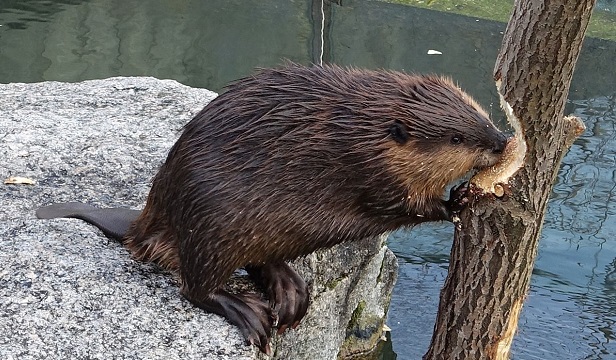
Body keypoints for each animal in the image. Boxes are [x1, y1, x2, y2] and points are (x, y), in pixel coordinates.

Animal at [39, 63, 510, 352]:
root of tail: (144, 225)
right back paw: (249, 312)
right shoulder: (366, 169)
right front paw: (458, 201)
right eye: (455, 138)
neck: (357, 128)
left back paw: (291, 294)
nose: (502, 141)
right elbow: (399, 202)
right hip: (211, 229)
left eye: (479, 113)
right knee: (195, 287)